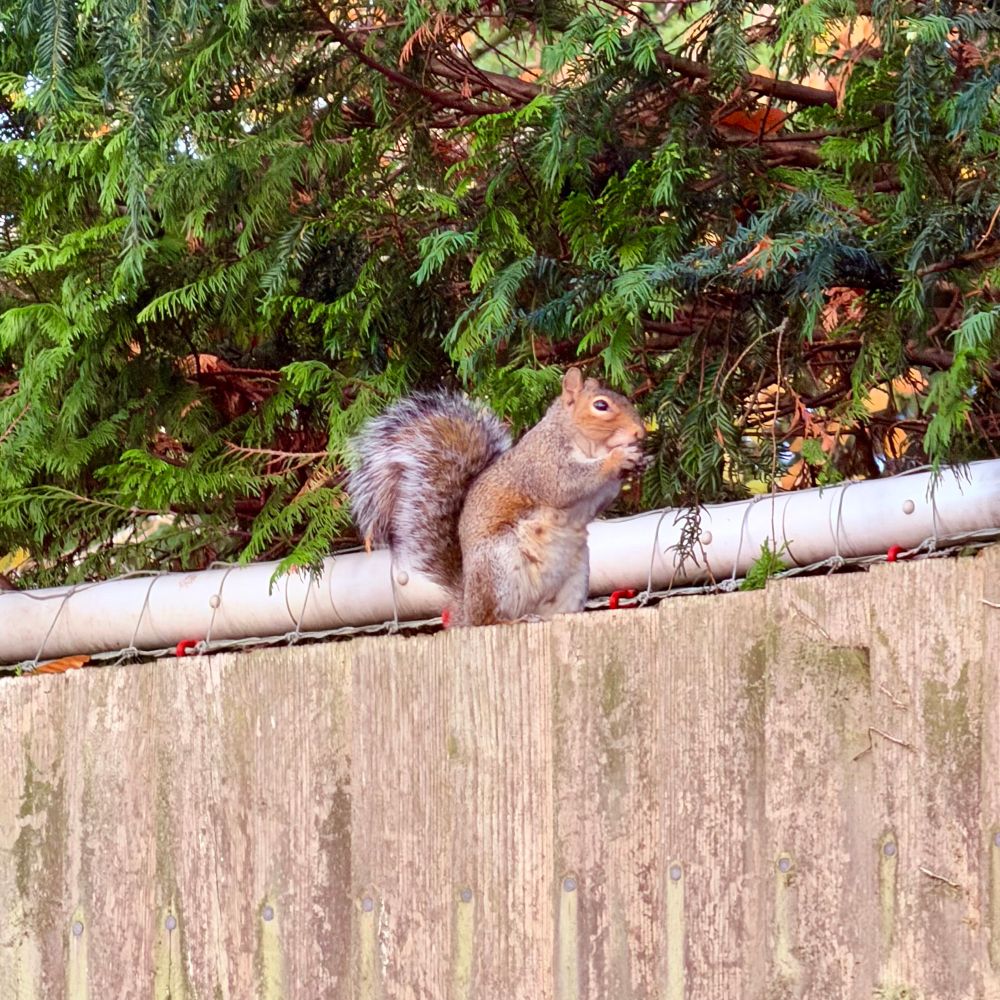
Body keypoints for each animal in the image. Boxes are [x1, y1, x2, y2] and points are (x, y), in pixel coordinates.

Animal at [348, 368, 646, 626]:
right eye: (601, 406)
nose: (640, 432)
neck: (589, 444)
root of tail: (466, 608)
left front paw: (638, 461)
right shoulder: (544, 463)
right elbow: (567, 483)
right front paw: (619, 458)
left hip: (576, 578)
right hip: (498, 565)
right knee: (489, 619)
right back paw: (513, 619)